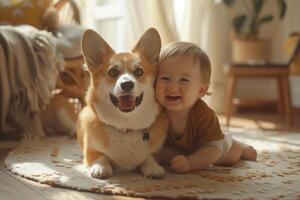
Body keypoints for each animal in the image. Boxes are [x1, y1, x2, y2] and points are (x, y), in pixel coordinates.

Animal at [77, 27, 169, 178]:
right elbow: (100, 155)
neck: (126, 125)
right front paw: (100, 167)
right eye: (113, 72)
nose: (127, 84)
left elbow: (149, 157)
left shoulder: (157, 152)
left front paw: (153, 168)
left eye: (139, 71)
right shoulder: (90, 151)